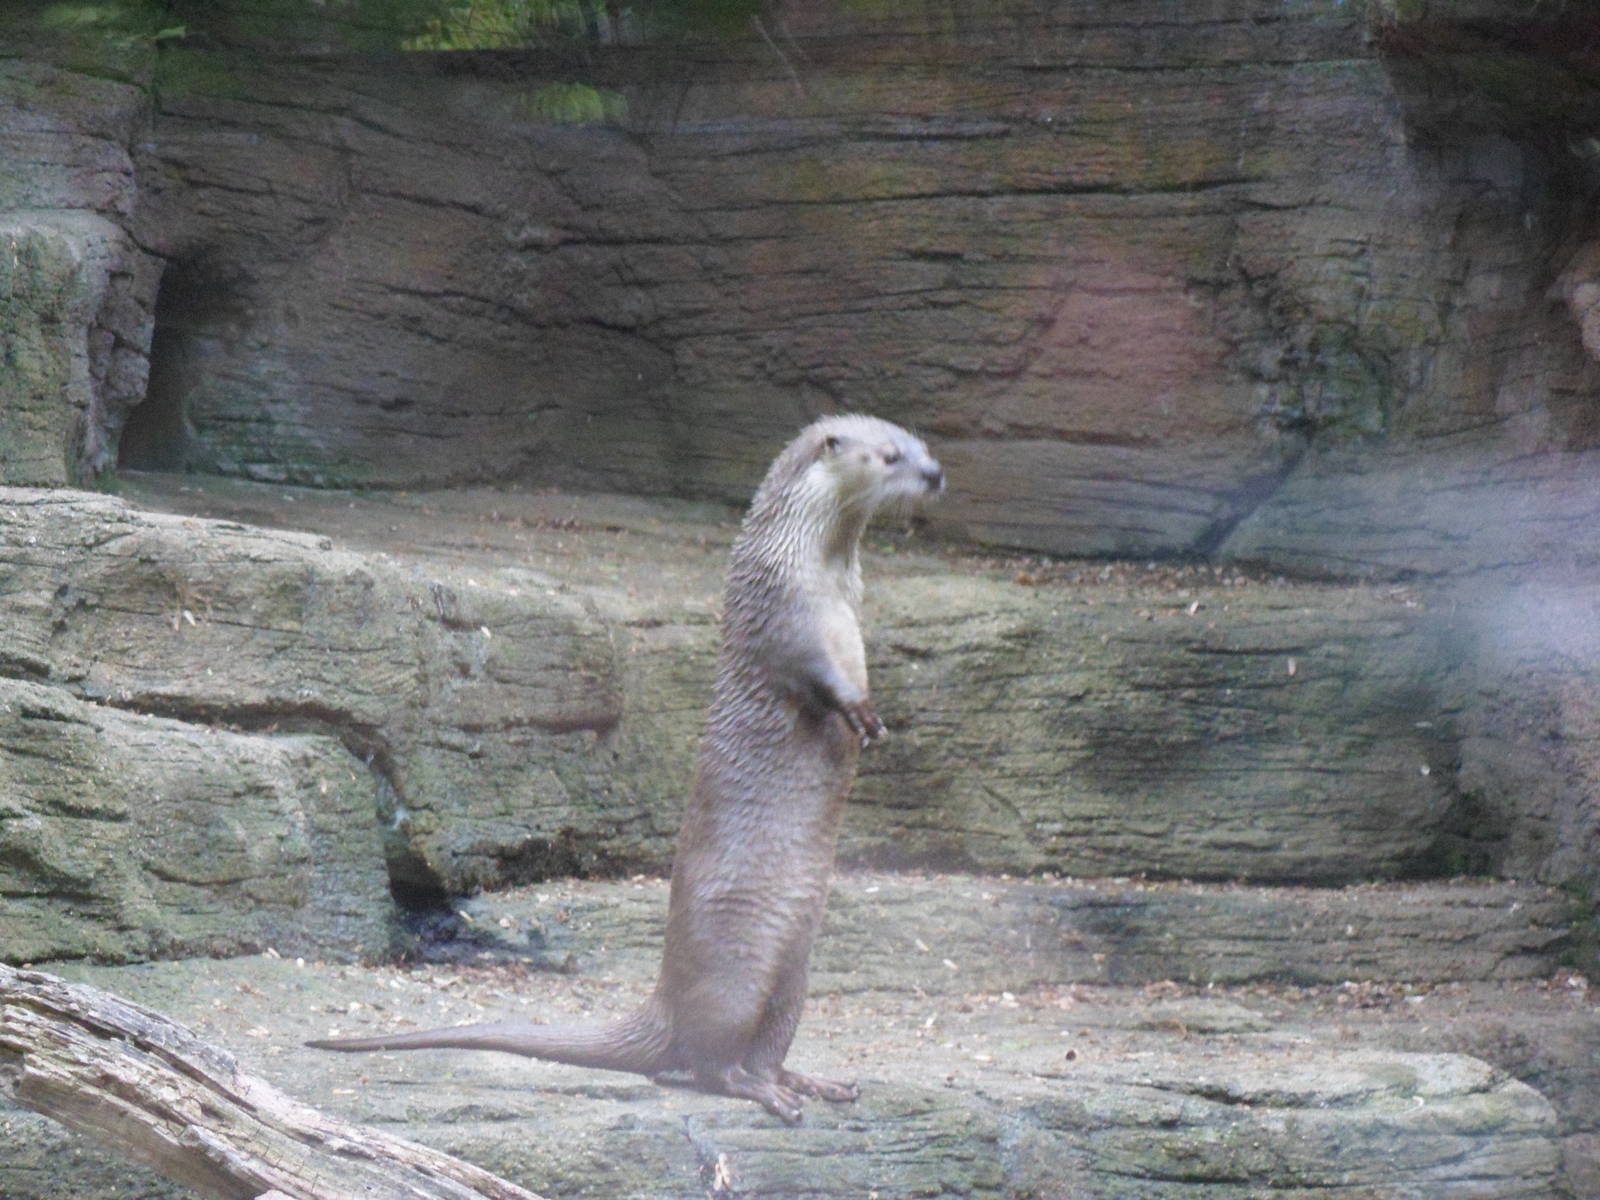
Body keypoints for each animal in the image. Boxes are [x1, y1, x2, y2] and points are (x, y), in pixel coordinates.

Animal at [309, 414, 943, 1122]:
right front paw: (860, 713)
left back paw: (808, 1082)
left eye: (921, 445)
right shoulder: (786, 623)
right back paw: (760, 1091)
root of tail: (660, 1002)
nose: (935, 473)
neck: (819, 577)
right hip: (737, 966)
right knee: (709, 1059)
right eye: (889, 456)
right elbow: (818, 675)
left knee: (769, 1040)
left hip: (796, 968)